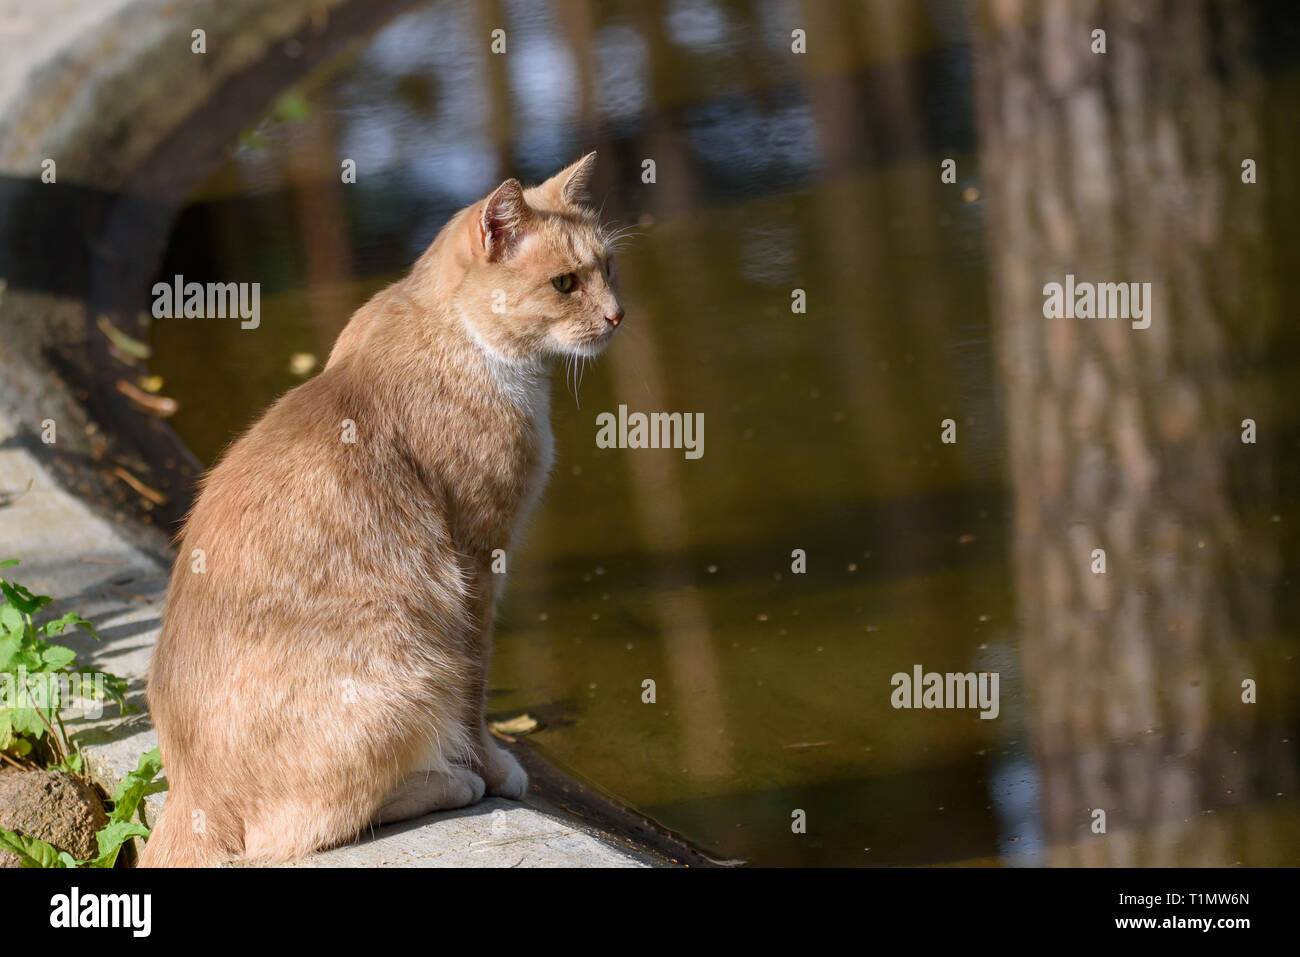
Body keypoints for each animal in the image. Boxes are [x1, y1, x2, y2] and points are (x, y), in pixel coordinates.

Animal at [139, 153, 626, 863]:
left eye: (607, 268)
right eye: (565, 283)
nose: (618, 315)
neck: (455, 336)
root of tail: (190, 796)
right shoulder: (478, 561)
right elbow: (475, 691)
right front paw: (491, 769)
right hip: (409, 671)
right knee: (298, 833)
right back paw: (446, 782)